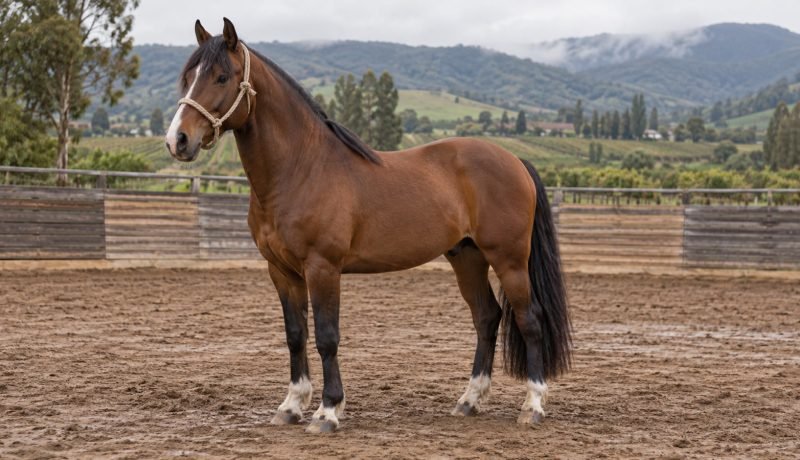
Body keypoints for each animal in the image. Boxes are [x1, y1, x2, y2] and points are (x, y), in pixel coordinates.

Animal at [165, 18, 572, 434]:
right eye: (189, 77)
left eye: (221, 76)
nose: (177, 139)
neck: (300, 168)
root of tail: (515, 160)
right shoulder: (281, 271)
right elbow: (295, 335)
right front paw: (292, 406)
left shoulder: (322, 267)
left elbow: (327, 337)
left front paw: (328, 411)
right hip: (467, 257)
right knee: (487, 318)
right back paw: (469, 400)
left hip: (508, 259)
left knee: (529, 319)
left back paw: (533, 405)